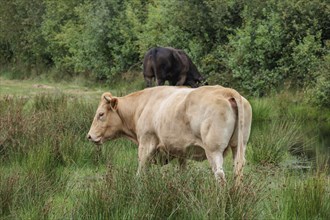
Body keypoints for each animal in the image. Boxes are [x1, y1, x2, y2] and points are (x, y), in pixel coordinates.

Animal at [87, 85, 253, 185]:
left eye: (101, 114)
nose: (89, 136)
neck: (142, 105)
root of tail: (226, 91)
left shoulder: (146, 143)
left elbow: (141, 170)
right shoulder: (182, 152)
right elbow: (182, 172)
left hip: (214, 150)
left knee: (219, 175)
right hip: (239, 146)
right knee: (238, 170)